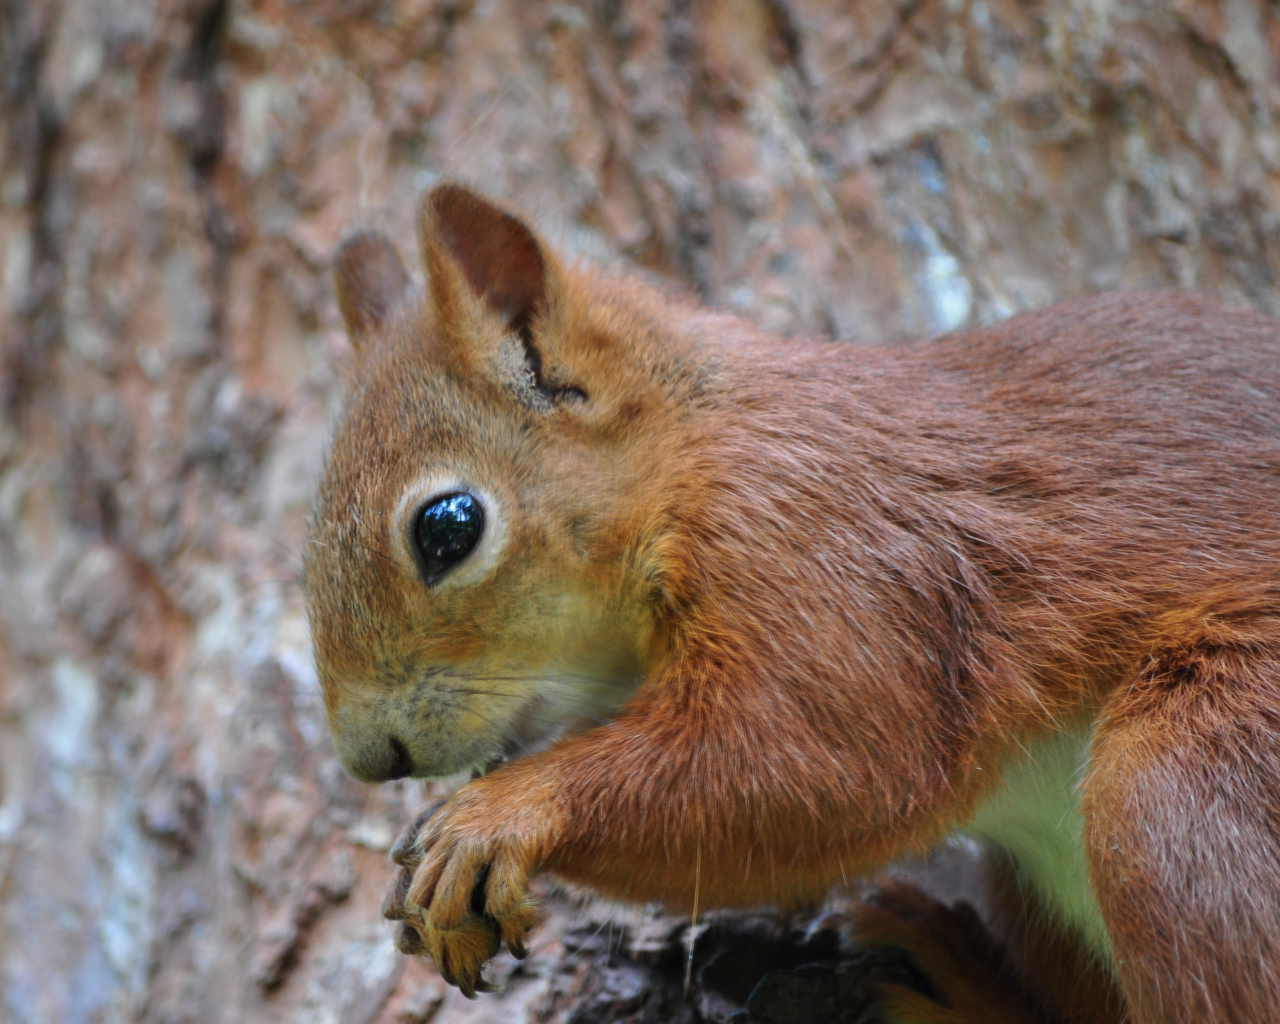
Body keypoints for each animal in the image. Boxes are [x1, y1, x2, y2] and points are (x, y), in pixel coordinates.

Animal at [304, 185, 1280, 1024]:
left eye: (448, 527)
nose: (373, 759)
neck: (694, 451)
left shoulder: (817, 549)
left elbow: (824, 762)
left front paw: (498, 812)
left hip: (1187, 784)